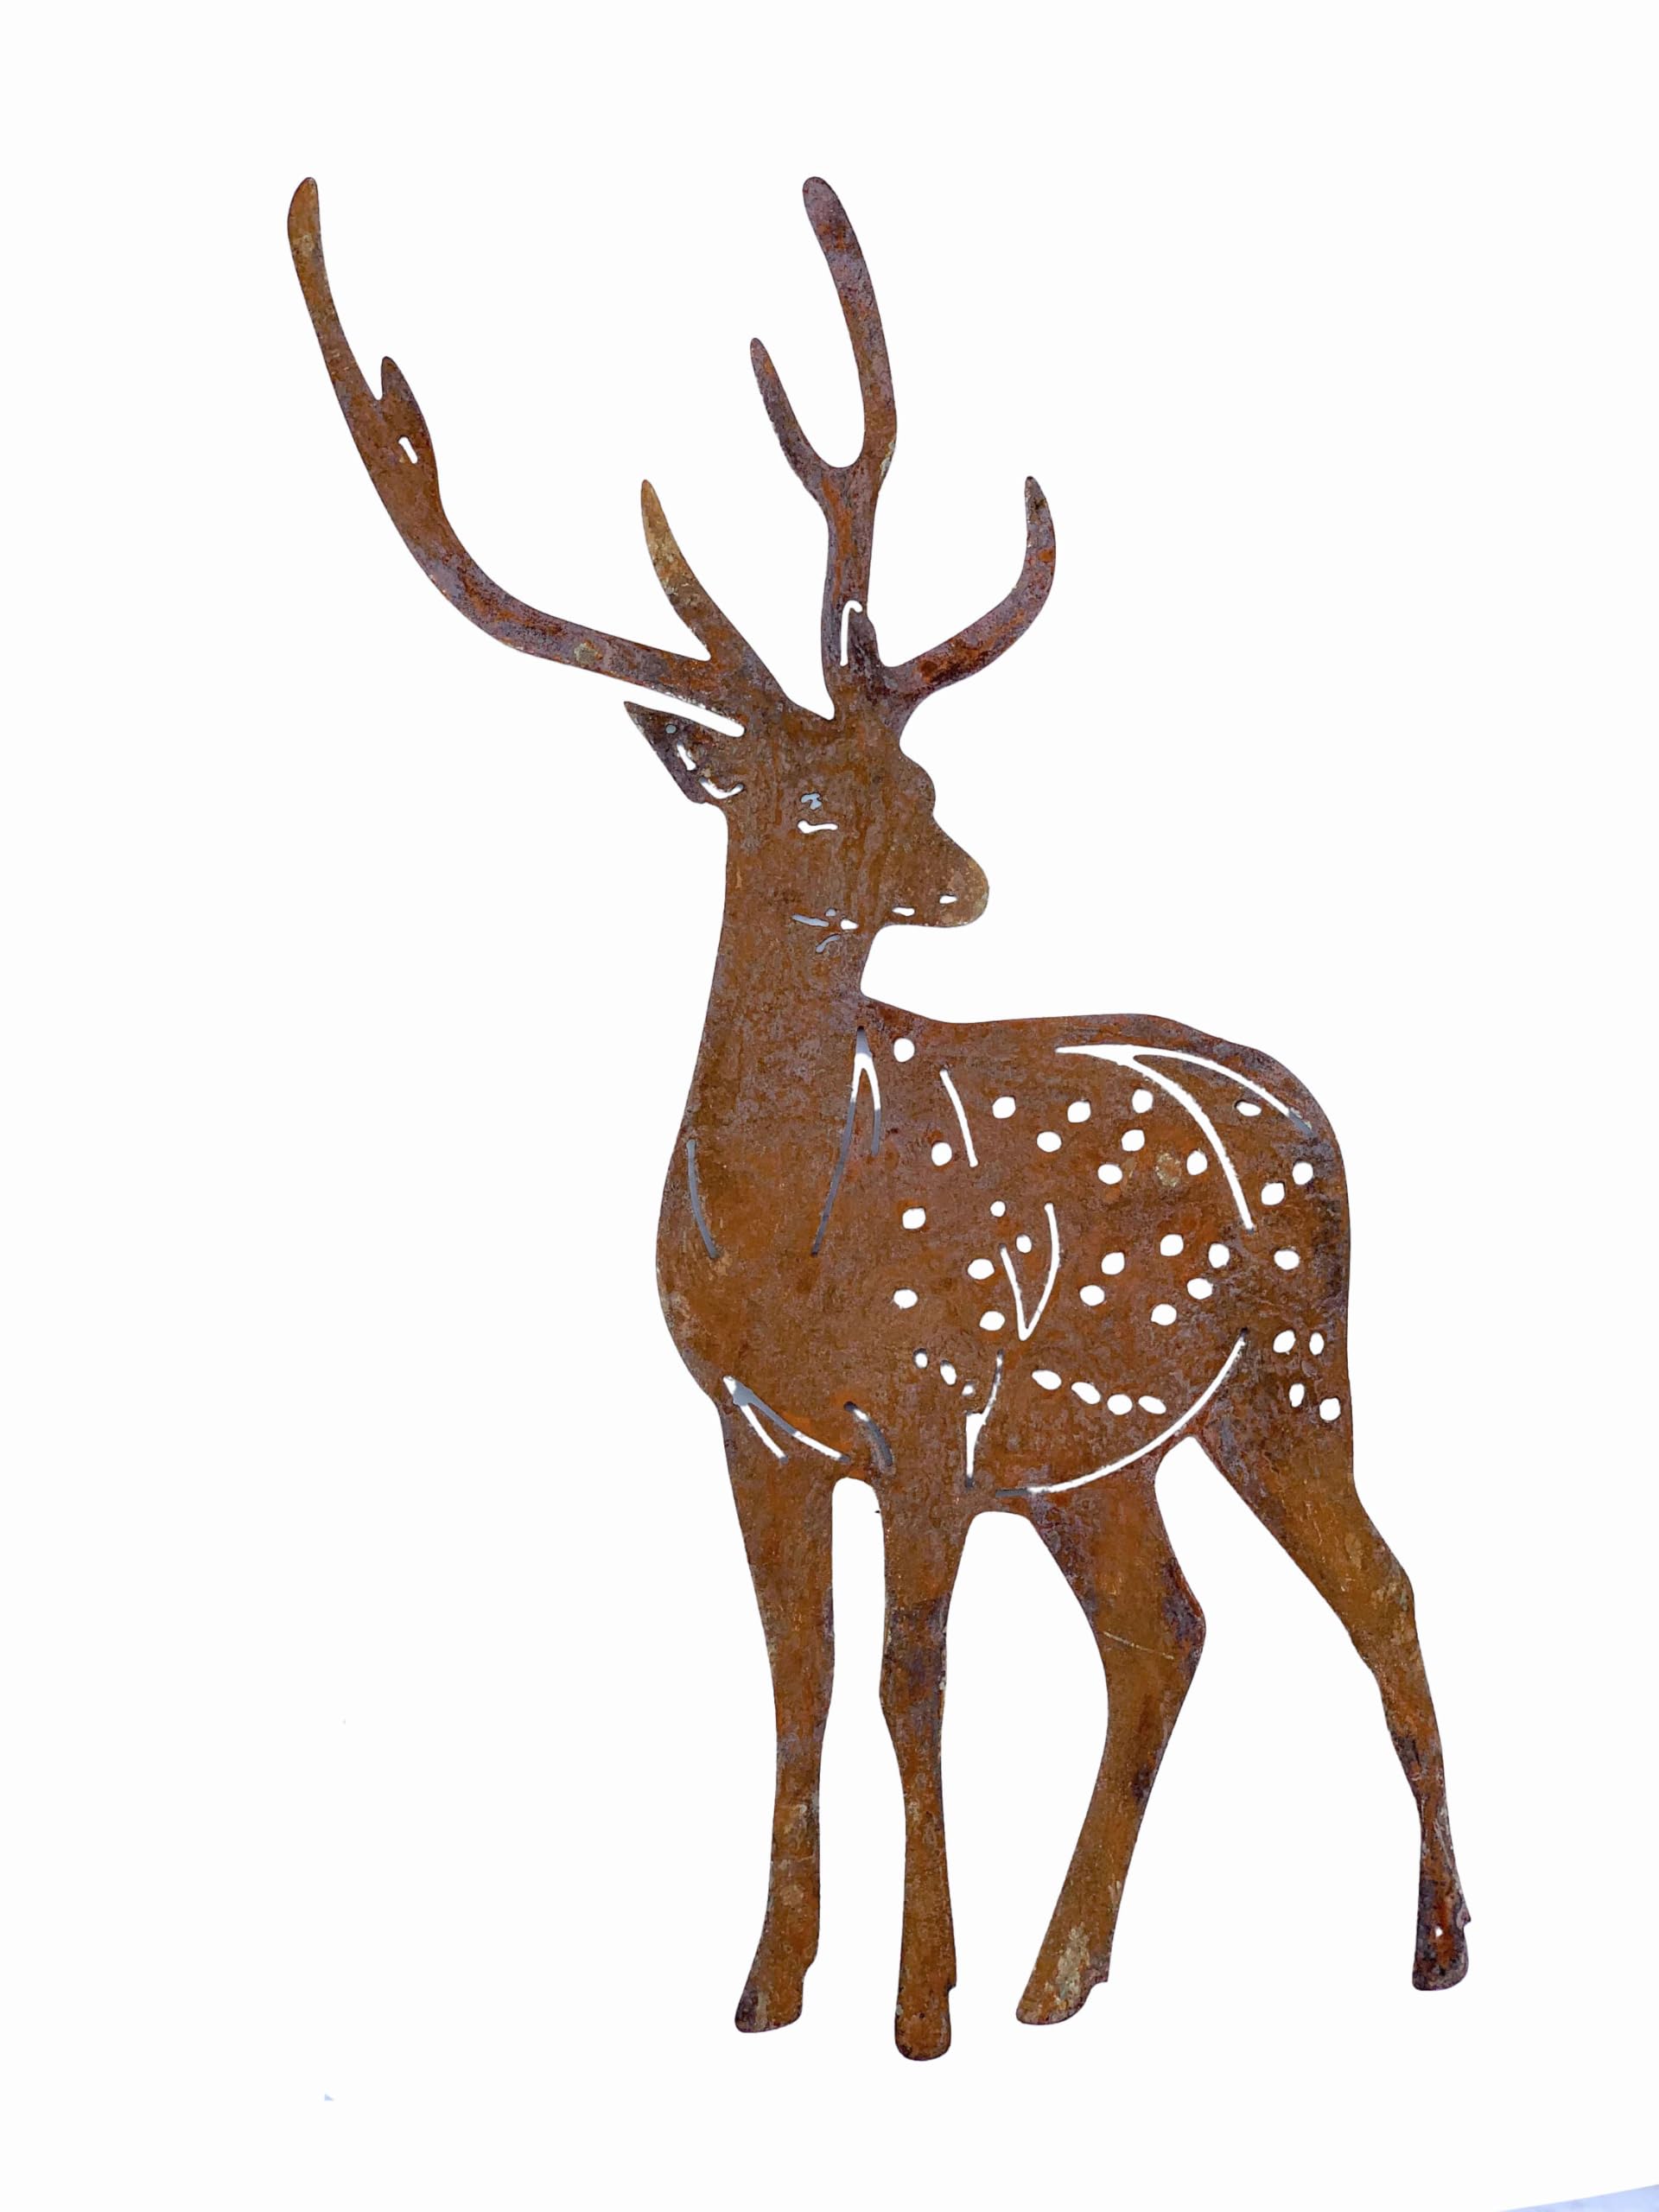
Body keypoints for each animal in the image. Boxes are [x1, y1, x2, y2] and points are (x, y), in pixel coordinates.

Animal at [289, 174, 1470, 2061]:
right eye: (818, 798)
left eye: (920, 772)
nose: (968, 880)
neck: (790, 1236)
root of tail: (1310, 1105)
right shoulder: (757, 1426)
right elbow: (802, 1675)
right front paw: (770, 1989)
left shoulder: (930, 1403)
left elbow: (914, 1683)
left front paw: (918, 2006)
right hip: (1099, 1450)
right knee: (1168, 1626)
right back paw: (1067, 1975)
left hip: (1290, 1371)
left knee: (1382, 1583)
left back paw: (1433, 1949)